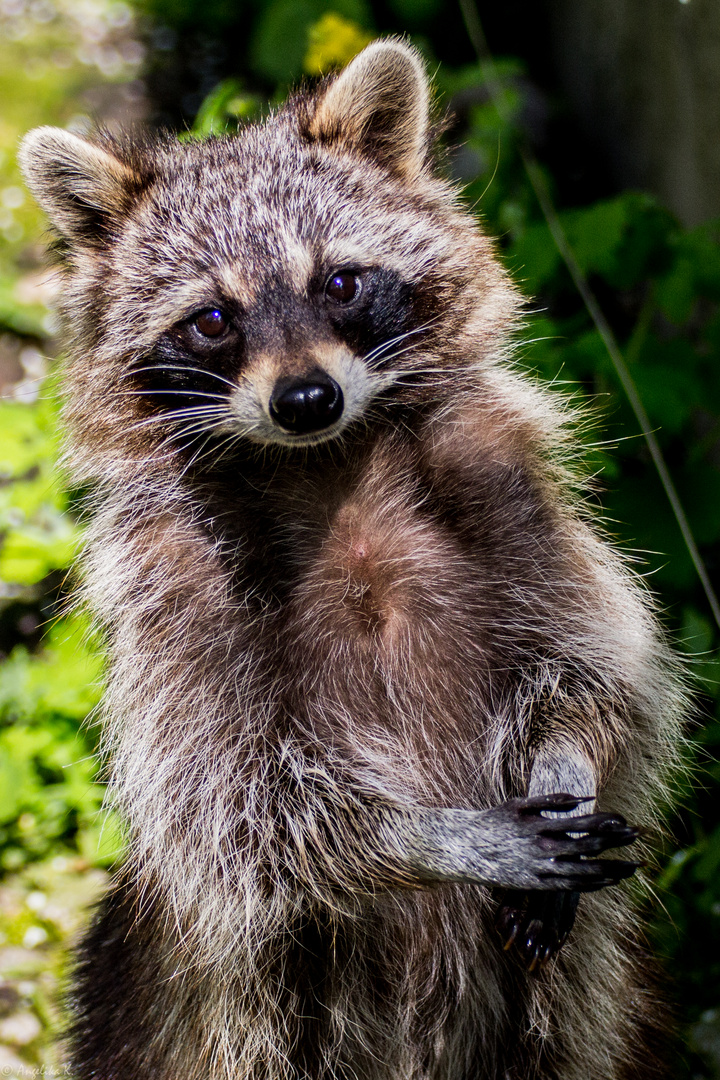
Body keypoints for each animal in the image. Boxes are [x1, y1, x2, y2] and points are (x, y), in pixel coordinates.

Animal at [18, 38, 686, 1075]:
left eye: (339, 283)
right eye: (213, 319)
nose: (305, 399)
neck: (329, 467)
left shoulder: (514, 498)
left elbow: (600, 671)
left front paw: (566, 759)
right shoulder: (171, 590)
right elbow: (241, 809)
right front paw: (430, 837)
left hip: (572, 1002)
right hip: (215, 1014)